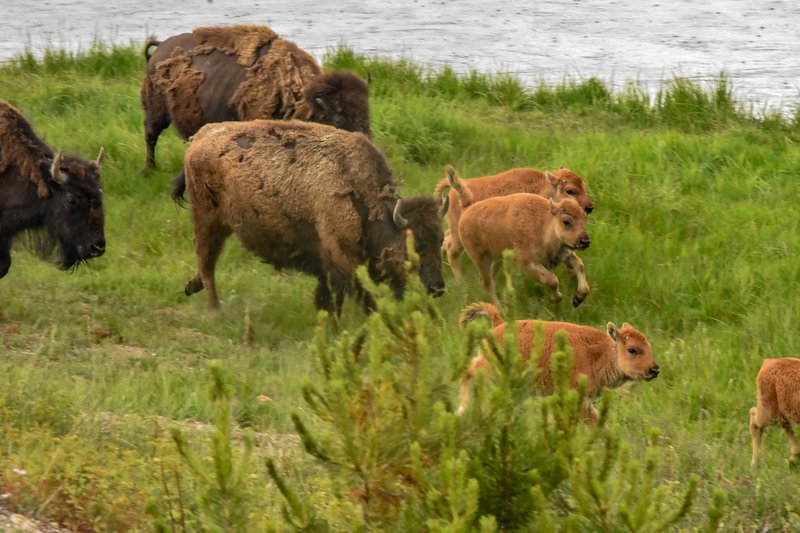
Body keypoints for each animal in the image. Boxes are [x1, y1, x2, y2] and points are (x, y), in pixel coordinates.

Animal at [141, 23, 372, 169]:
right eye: (338, 119)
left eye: (367, 114)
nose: (366, 145)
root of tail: (160, 48)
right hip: (156, 112)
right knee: (151, 136)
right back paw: (149, 170)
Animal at [175, 118, 446, 314]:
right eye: (416, 246)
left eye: (440, 240)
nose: (438, 288)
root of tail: (199, 137)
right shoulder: (339, 257)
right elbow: (349, 291)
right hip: (207, 220)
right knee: (207, 261)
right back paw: (215, 310)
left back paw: (192, 287)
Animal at [450, 166, 592, 308]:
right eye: (566, 221)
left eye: (583, 220)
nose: (585, 241)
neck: (544, 222)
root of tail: (467, 207)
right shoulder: (526, 263)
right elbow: (552, 280)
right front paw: (556, 298)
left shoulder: (565, 252)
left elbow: (579, 265)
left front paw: (578, 298)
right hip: (479, 257)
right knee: (485, 282)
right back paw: (500, 309)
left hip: (496, 258)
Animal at [460, 302, 660, 422]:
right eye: (632, 349)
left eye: (648, 346)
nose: (654, 369)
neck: (600, 352)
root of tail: (499, 324)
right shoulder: (579, 402)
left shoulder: (586, 404)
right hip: (491, 370)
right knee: (468, 371)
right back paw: (462, 410)